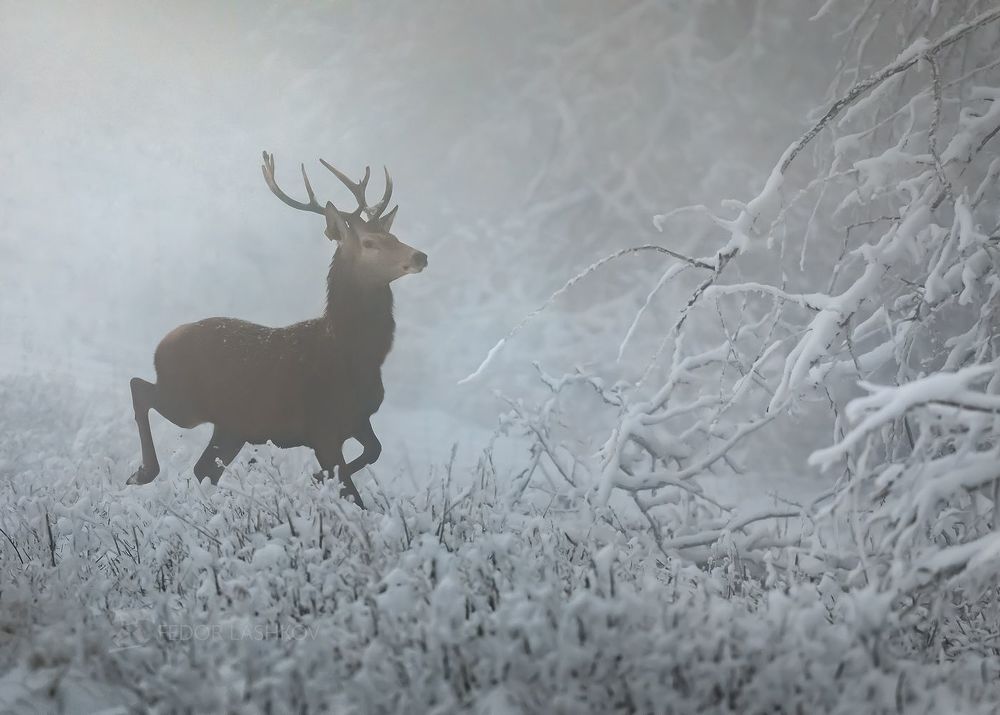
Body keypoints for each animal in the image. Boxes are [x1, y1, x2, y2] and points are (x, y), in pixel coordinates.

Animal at [126, 152, 427, 508]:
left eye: (393, 237)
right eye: (368, 242)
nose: (420, 256)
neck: (352, 355)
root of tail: (161, 344)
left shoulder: (358, 419)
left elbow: (374, 451)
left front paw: (315, 478)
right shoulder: (322, 427)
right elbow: (353, 494)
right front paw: (323, 482)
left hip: (231, 427)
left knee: (203, 469)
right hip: (186, 402)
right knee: (139, 387)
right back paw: (142, 473)